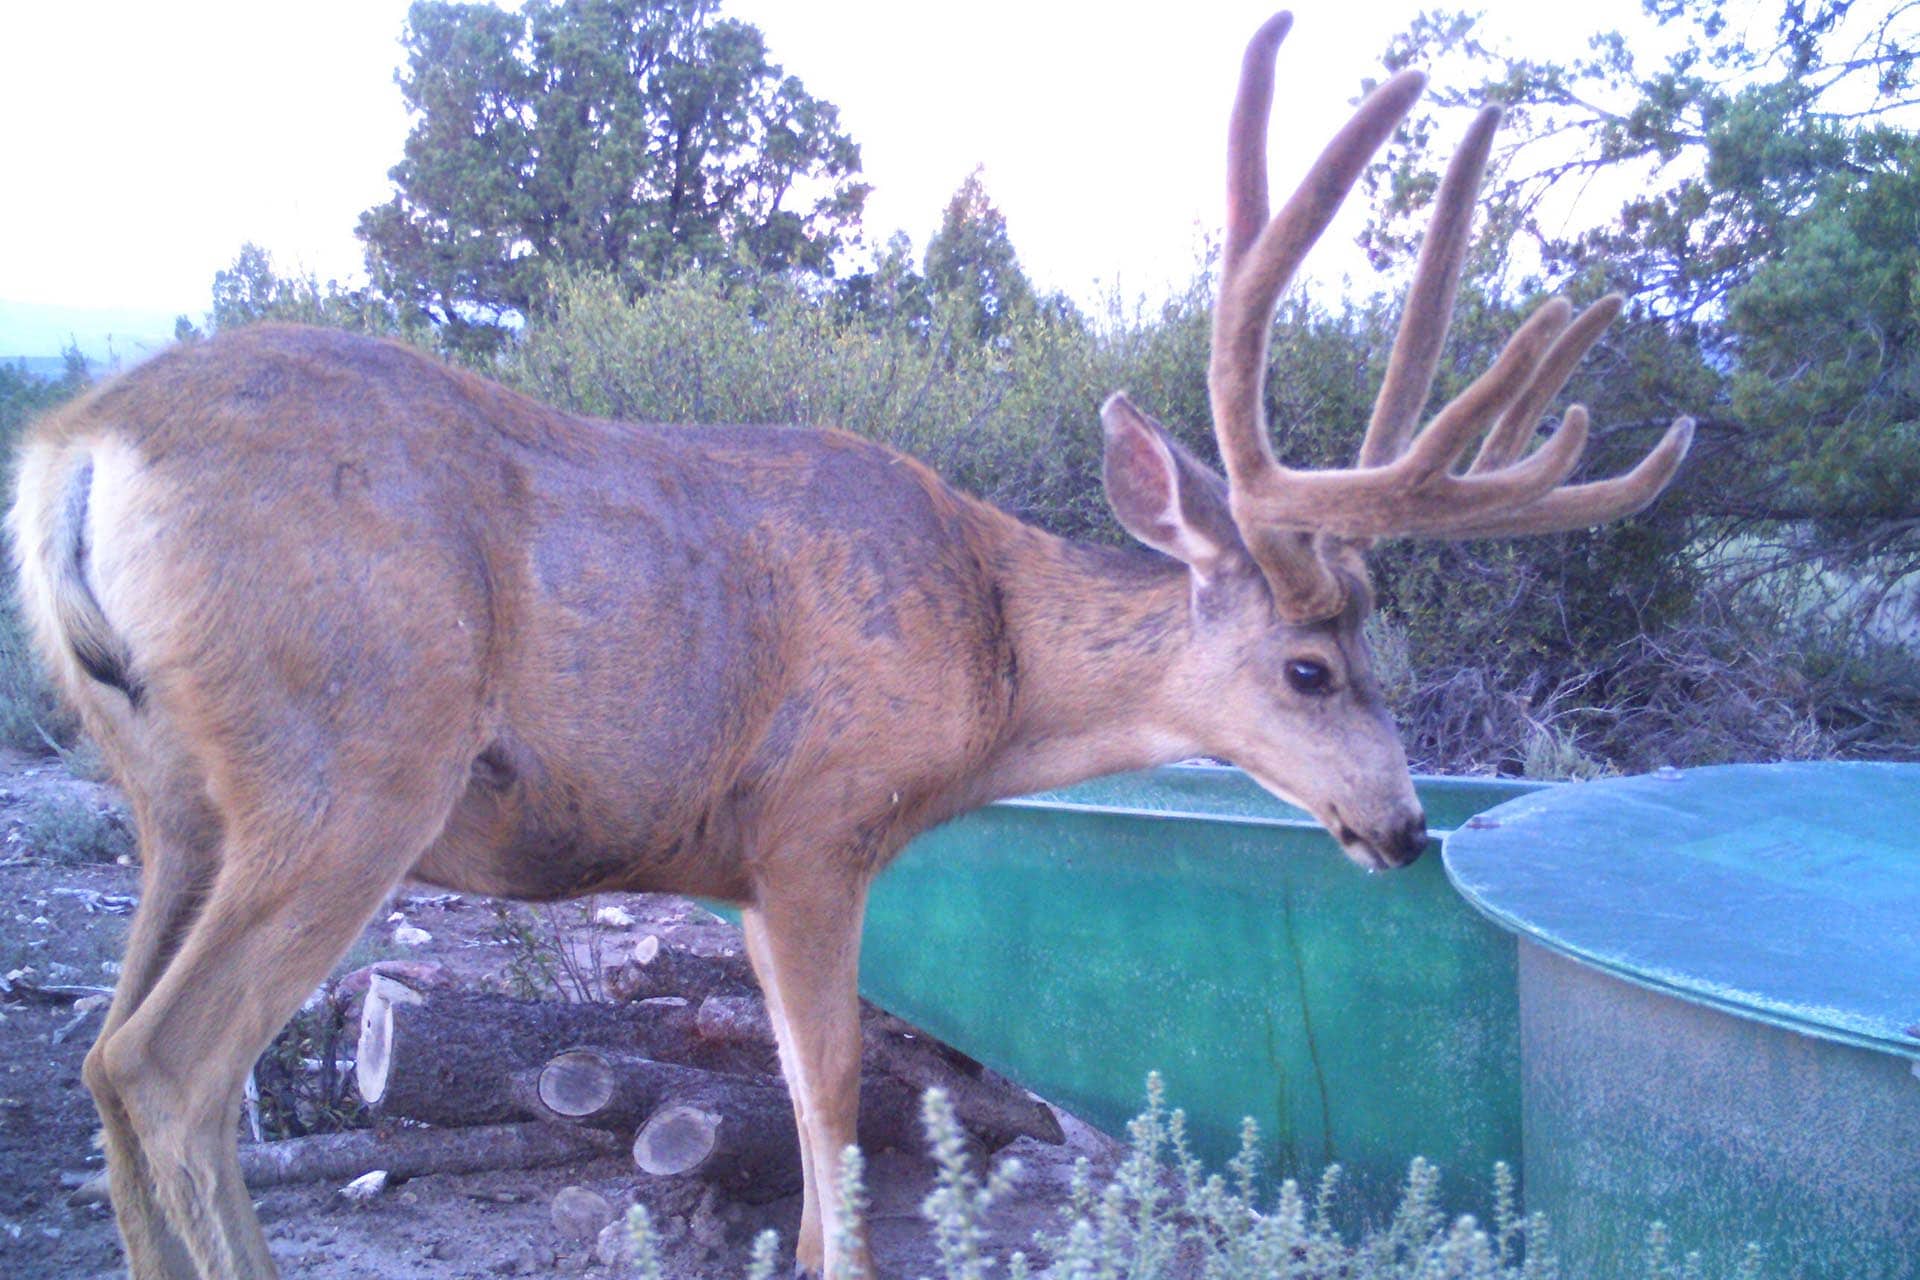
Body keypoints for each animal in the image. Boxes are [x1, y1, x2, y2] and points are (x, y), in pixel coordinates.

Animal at [9, 12, 1690, 1280]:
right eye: (1310, 668)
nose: (1402, 829)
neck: (993, 652)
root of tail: (81, 447)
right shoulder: (818, 822)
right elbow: (827, 1101)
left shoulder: (745, 864)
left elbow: (807, 1102)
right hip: (355, 759)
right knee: (169, 1067)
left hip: (173, 792)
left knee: (104, 1062)